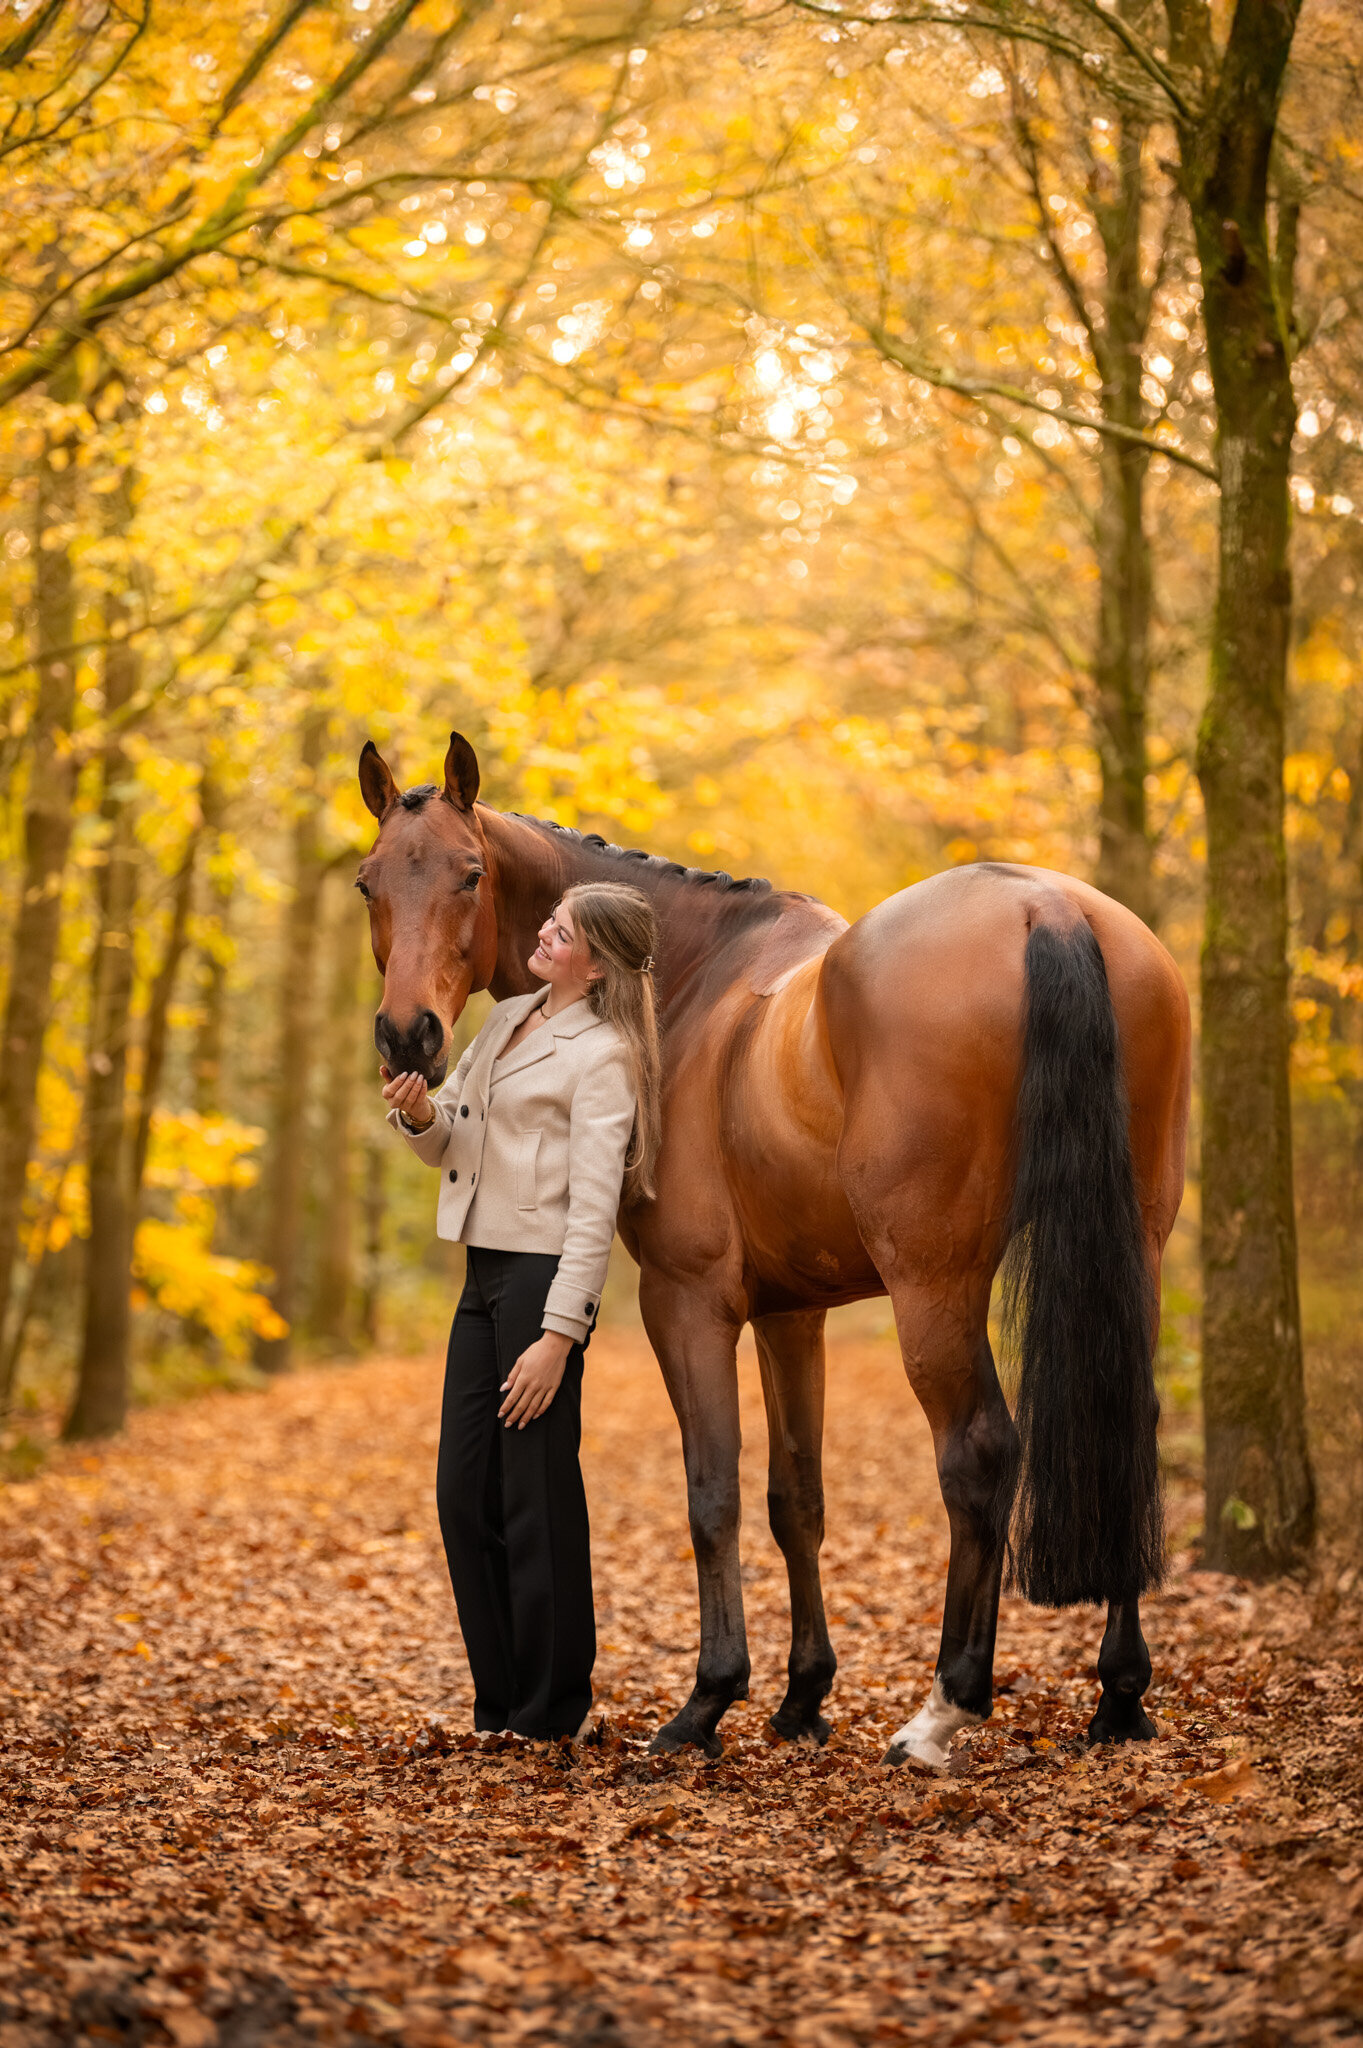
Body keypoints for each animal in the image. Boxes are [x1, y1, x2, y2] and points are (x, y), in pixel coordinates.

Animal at [356, 730, 1191, 1766]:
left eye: (468, 875)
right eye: (369, 883)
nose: (407, 1036)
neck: (690, 987)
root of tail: (1051, 907)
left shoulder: (687, 1303)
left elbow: (711, 1492)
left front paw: (708, 1701)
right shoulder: (793, 1315)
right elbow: (796, 1500)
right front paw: (802, 1697)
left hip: (935, 1284)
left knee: (978, 1453)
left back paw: (945, 1707)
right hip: (1133, 1249)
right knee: (1126, 1422)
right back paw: (1118, 1695)